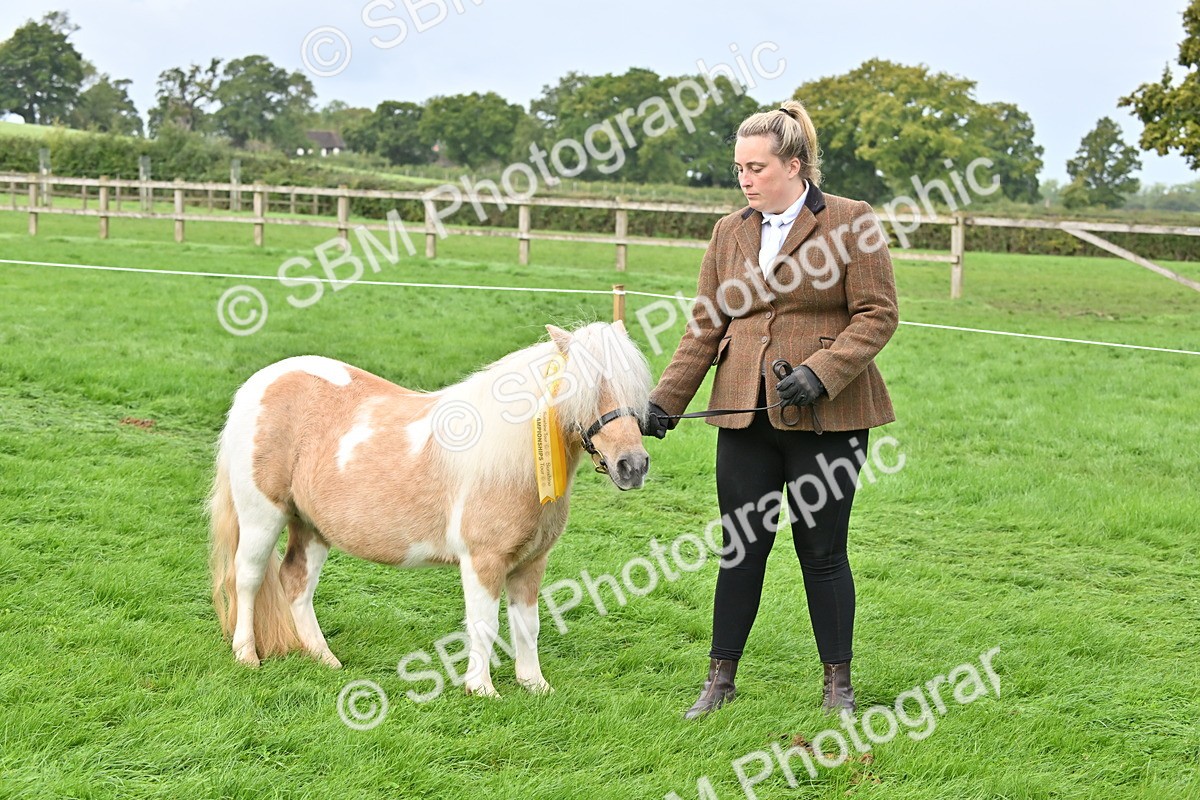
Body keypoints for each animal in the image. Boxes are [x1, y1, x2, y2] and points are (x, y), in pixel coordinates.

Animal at [209, 320, 651, 696]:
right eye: (586, 388)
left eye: (634, 389)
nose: (633, 465)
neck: (512, 461)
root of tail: (261, 382)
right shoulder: (483, 561)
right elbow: (485, 623)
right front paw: (481, 688)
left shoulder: (531, 562)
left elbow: (528, 625)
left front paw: (535, 685)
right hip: (262, 517)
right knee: (247, 578)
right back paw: (247, 655)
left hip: (312, 526)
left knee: (296, 582)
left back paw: (325, 659)